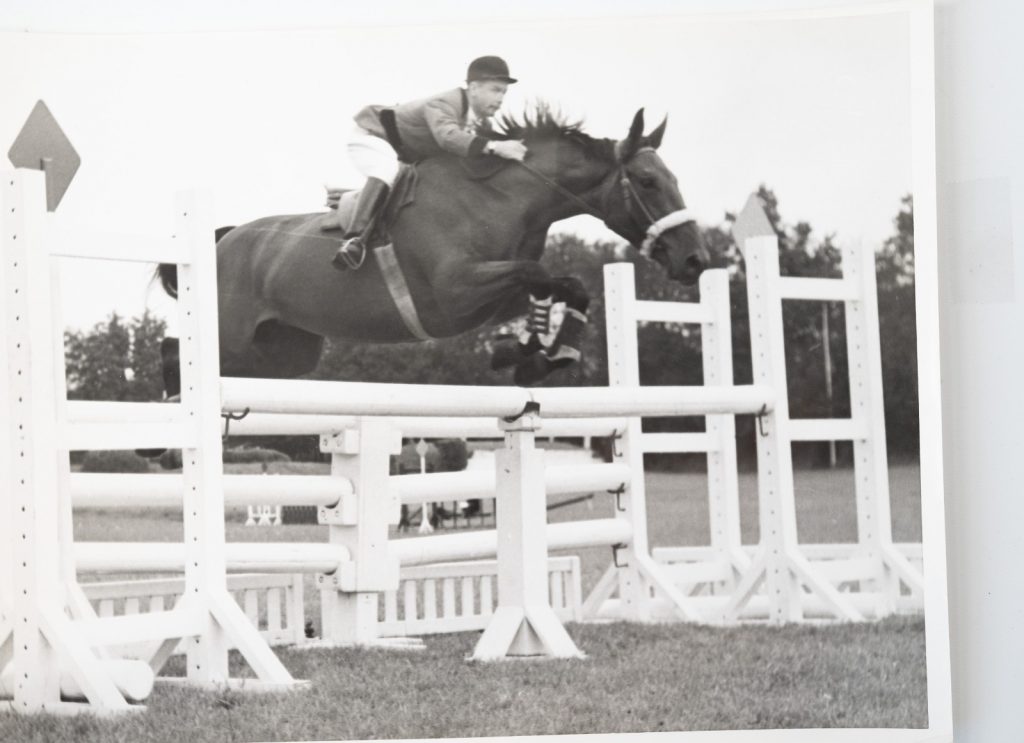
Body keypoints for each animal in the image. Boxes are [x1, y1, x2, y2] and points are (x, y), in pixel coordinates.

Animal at [152, 106, 708, 396]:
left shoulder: (489, 298)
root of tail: (226, 238)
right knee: (177, 347)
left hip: (285, 352)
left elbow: (563, 285)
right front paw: (532, 354)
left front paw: (533, 354)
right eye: (647, 181)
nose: (696, 259)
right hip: (231, 333)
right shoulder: (455, 294)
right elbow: (544, 274)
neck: (501, 197)